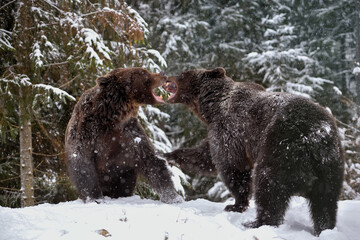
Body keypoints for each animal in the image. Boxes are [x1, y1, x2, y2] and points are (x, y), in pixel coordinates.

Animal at [64, 67, 183, 204]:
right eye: (144, 72)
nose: (163, 73)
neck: (112, 116)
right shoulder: (87, 129)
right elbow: (82, 162)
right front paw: (95, 198)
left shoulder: (129, 133)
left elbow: (150, 160)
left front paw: (173, 197)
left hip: (125, 175)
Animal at [162, 67, 344, 234]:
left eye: (183, 74)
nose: (165, 76)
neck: (213, 107)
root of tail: (317, 136)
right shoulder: (219, 133)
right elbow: (205, 155)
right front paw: (169, 155)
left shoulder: (231, 131)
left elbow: (231, 167)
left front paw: (235, 204)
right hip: (330, 167)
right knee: (325, 201)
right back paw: (325, 228)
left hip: (281, 148)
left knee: (269, 187)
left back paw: (257, 222)